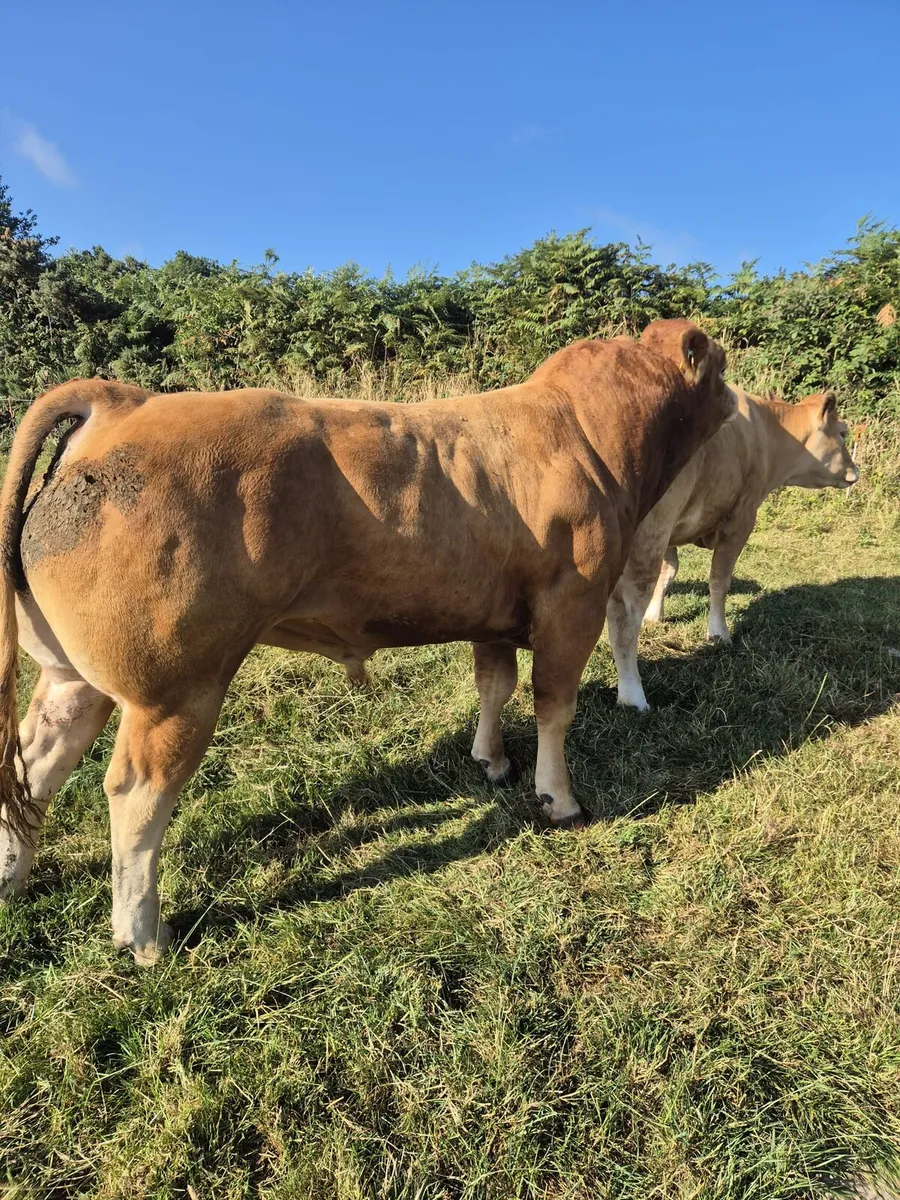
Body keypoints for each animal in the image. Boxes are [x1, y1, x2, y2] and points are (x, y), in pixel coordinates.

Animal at [0, 320, 735, 963]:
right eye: (719, 364)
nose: (735, 398)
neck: (588, 430)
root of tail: (124, 402)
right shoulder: (571, 603)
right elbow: (555, 704)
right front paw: (559, 798)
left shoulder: (491, 610)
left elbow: (494, 685)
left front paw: (491, 761)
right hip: (176, 689)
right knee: (136, 793)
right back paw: (143, 933)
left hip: (73, 675)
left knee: (36, 761)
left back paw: (12, 875)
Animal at [607, 380, 860, 712]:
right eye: (842, 432)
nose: (855, 472)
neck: (768, 432)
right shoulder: (741, 519)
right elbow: (719, 579)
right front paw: (719, 632)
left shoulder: (674, 528)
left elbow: (669, 570)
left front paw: (655, 615)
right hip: (647, 535)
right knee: (623, 611)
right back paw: (633, 696)